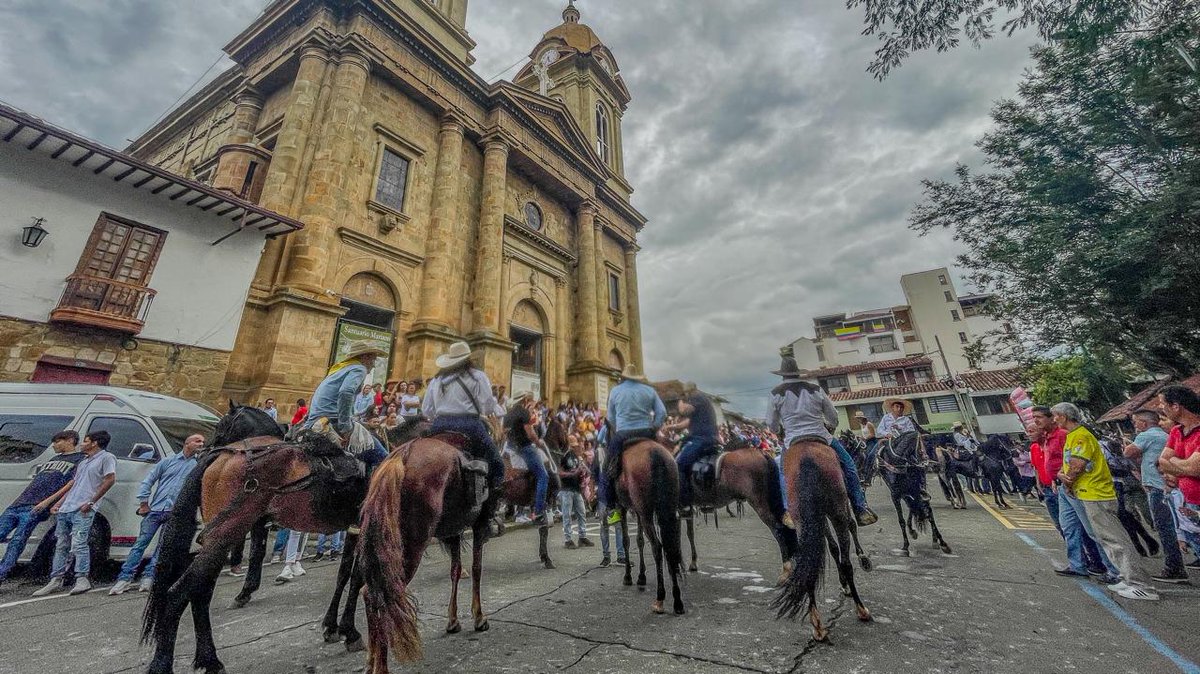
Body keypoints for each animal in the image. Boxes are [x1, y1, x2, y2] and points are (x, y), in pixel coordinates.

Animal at [141, 402, 364, 671]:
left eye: (222, 425)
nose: (204, 448)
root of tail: (221, 457)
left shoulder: (355, 527)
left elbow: (345, 575)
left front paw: (334, 627)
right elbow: (355, 576)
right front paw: (348, 631)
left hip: (221, 537)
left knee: (199, 592)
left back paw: (209, 659)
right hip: (227, 531)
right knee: (181, 592)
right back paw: (165, 664)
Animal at [360, 426, 501, 666]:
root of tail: (401, 457)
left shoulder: (453, 532)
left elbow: (456, 570)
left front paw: (453, 620)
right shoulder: (479, 524)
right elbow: (476, 568)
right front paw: (479, 617)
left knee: (369, 593)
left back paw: (372, 661)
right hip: (411, 548)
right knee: (376, 594)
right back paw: (380, 665)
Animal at [619, 436, 686, 614]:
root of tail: (655, 455)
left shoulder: (622, 507)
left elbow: (626, 540)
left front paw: (628, 576)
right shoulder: (637, 510)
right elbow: (639, 540)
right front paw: (641, 576)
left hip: (647, 511)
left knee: (657, 547)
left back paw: (660, 598)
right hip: (666, 508)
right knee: (669, 547)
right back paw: (677, 601)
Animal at [768, 438, 873, 638]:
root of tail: (807, 461)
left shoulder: (818, 518)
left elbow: (832, 547)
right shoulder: (840, 509)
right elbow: (852, 526)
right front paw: (863, 560)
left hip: (803, 519)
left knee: (810, 563)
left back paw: (817, 623)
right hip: (837, 508)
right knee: (847, 561)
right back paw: (861, 609)